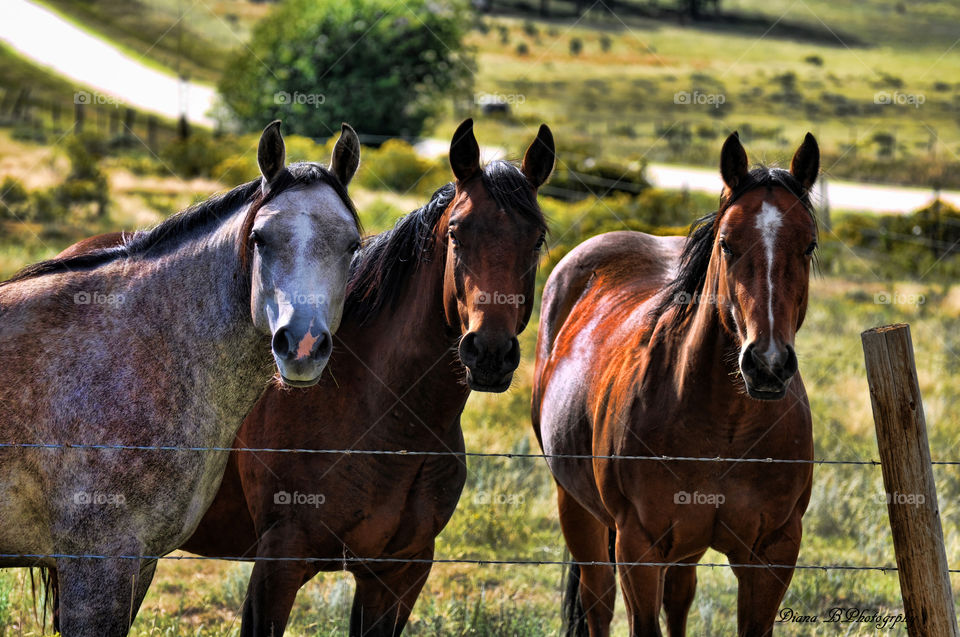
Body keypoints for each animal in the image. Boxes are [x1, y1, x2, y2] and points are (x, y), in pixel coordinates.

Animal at [180, 118, 556, 632]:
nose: (490, 352)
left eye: (536, 239)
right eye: (456, 234)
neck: (384, 420)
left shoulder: (398, 575)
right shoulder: (278, 565)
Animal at [532, 130, 816, 636]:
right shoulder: (638, 548)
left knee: (679, 597)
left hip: (684, 546)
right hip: (578, 510)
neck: (726, 427)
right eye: (727, 244)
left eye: (809, 246)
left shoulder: (774, 553)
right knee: (597, 602)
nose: (767, 364)